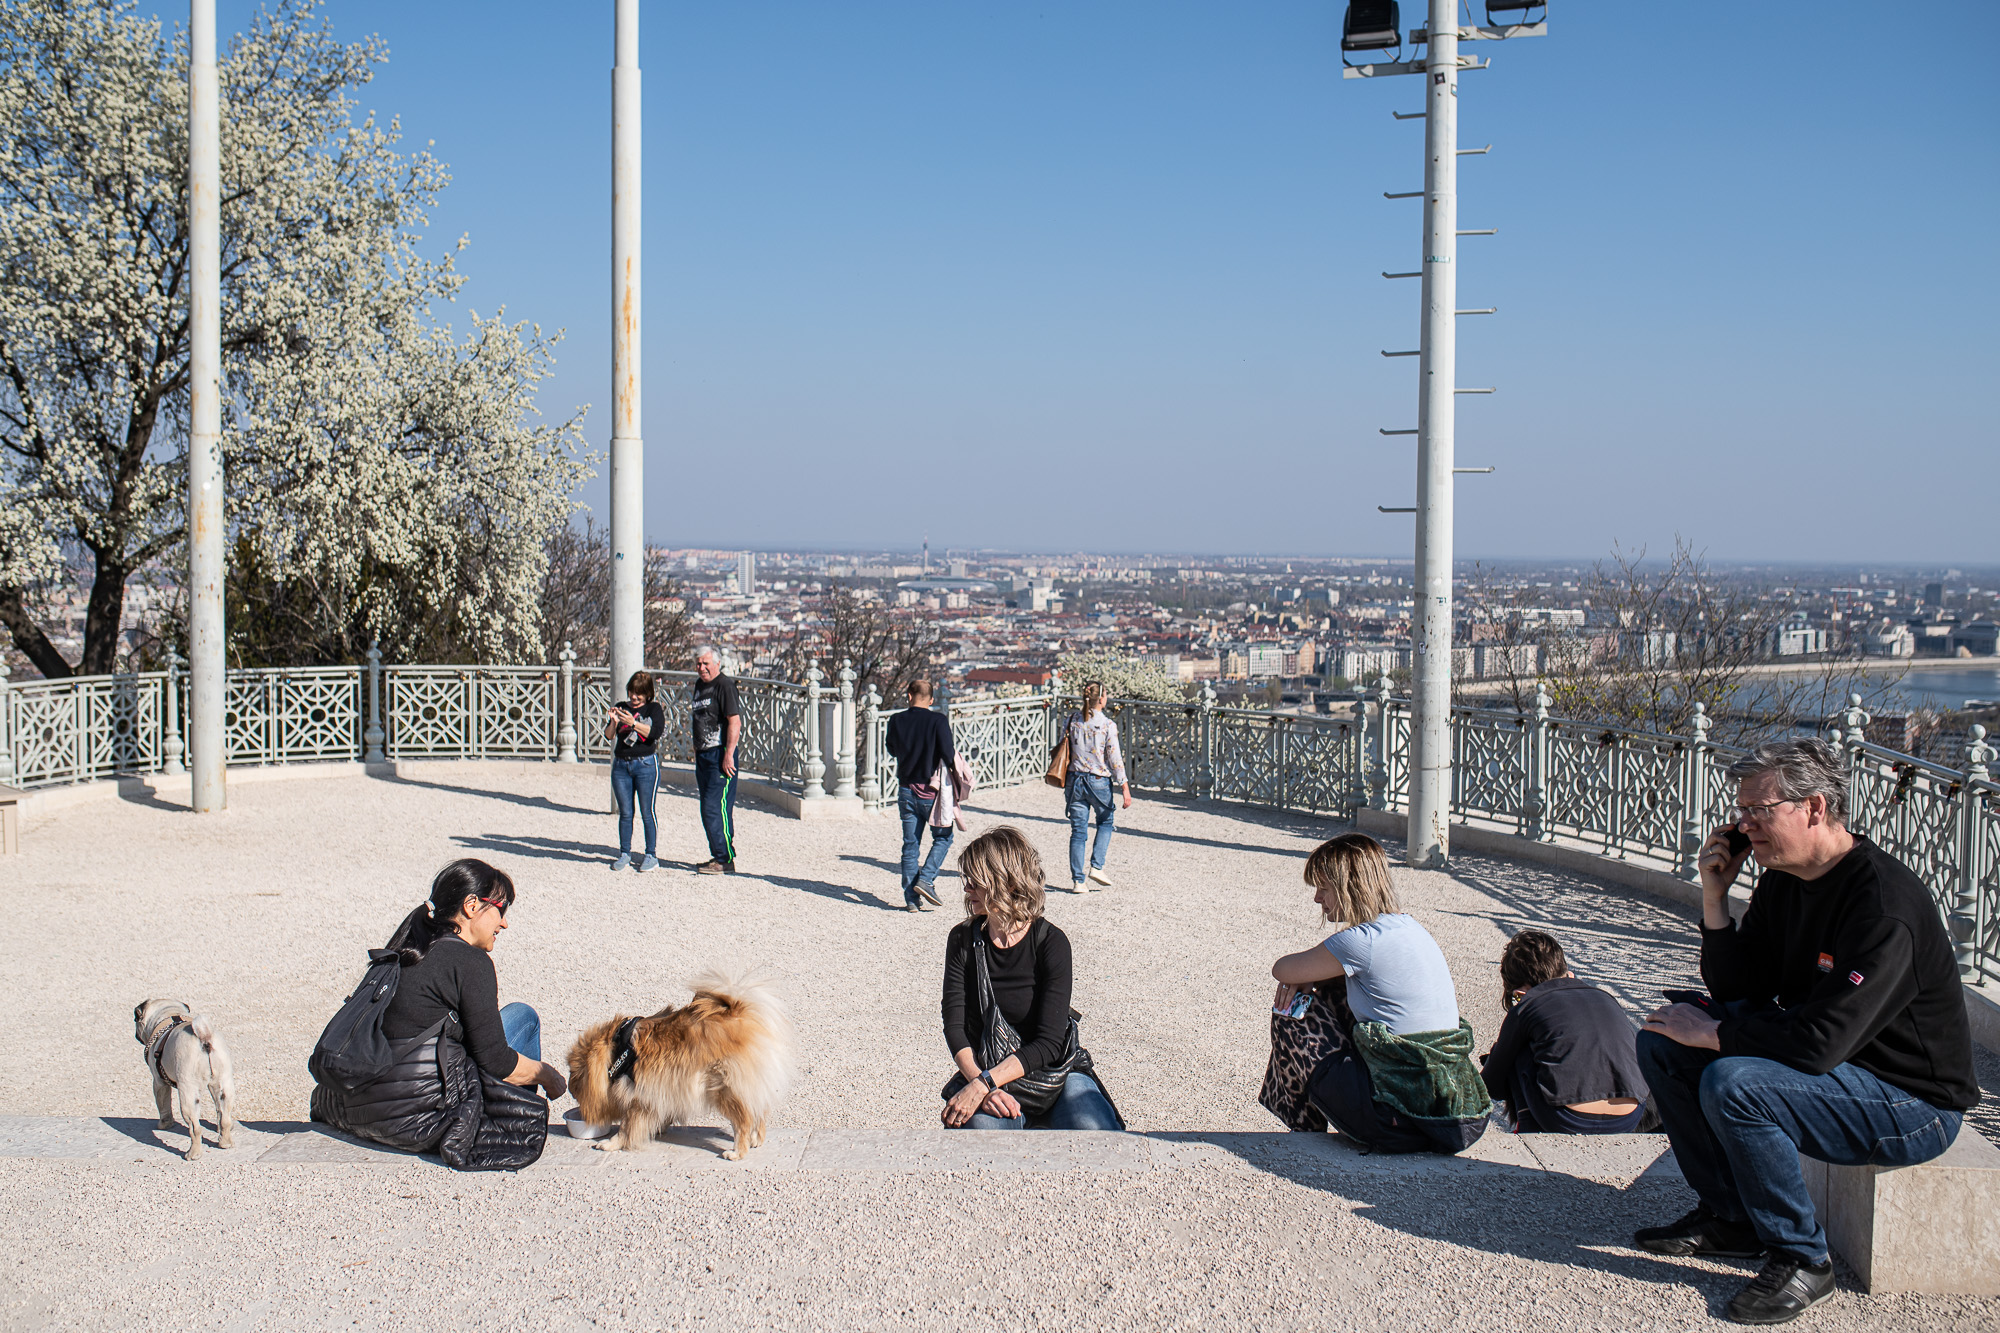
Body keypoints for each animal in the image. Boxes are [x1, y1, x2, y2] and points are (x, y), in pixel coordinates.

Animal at [133, 999, 236, 1160]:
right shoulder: (213, 1084)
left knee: (195, 1128)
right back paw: (225, 1142)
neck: (170, 1014)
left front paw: (164, 1125)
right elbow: (219, 1110)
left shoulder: (158, 1082)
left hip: (188, 1093)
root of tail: (204, 1036)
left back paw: (193, 1153)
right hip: (224, 1083)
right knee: (224, 1115)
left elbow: (163, 1106)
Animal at [567, 970, 795, 1160]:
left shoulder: (638, 1097)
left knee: (743, 1120)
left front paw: (610, 1143)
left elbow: (626, 1127)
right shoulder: (660, 1092)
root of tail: (740, 1012)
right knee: (758, 1110)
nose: (568, 1089)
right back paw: (756, 1140)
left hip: (723, 1087)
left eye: (573, 1077)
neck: (617, 1054)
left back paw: (737, 1152)